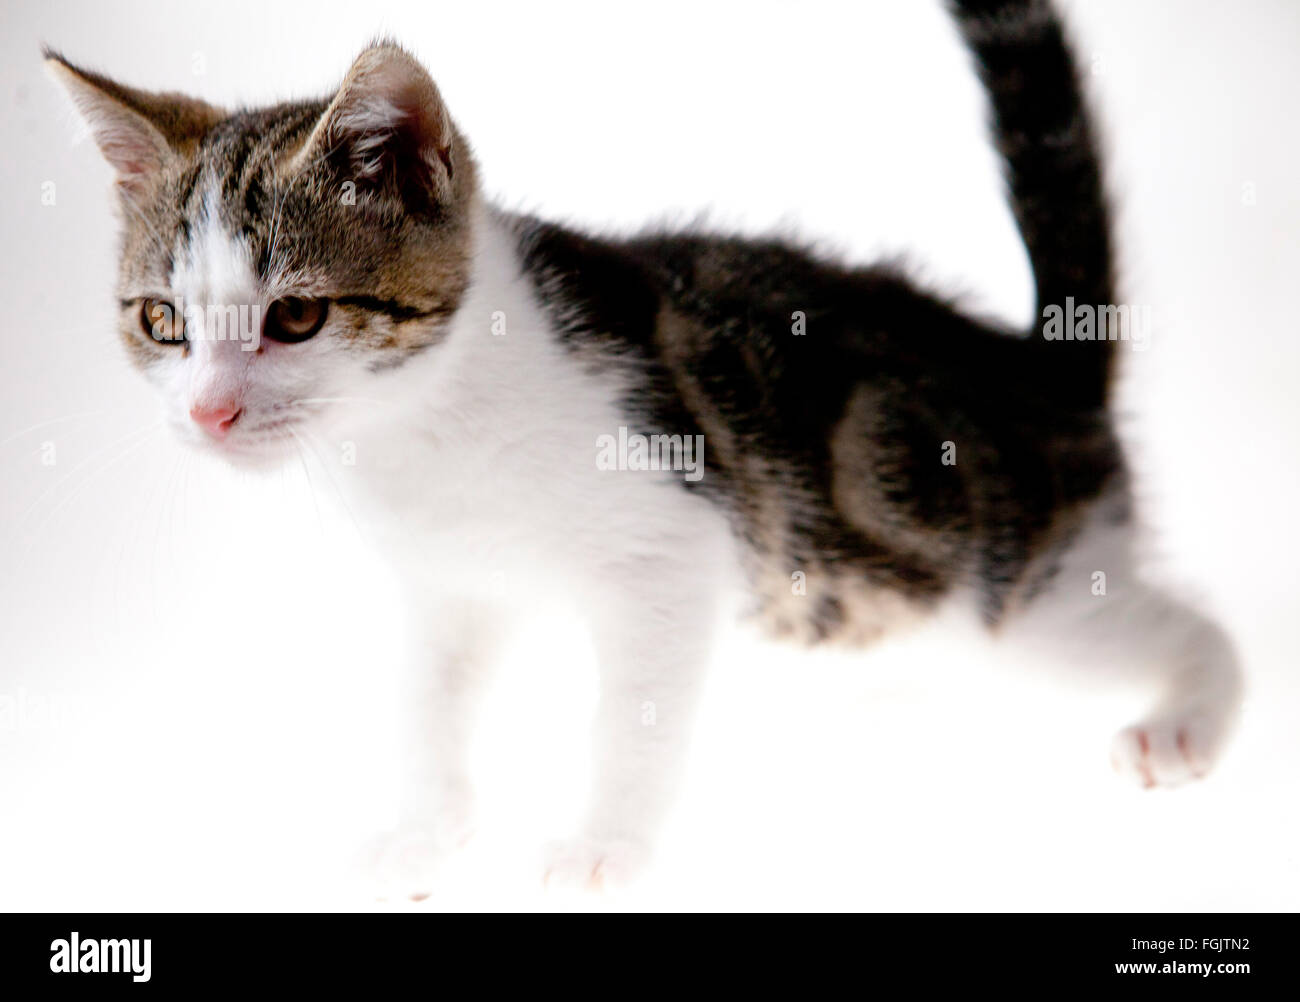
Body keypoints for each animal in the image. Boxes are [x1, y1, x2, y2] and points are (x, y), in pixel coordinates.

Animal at [48, 0, 1237, 894]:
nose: (209, 411)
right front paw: (426, 833)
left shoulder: (670, 546)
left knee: (1185, 630)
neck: (419, 428)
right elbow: (430, 702)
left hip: (1013, 589)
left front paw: (601, 847)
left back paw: (1184, 720)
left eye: (296, 317)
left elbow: (633, 715)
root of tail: (1038, 366)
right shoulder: (448, 585)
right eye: (163, 322)